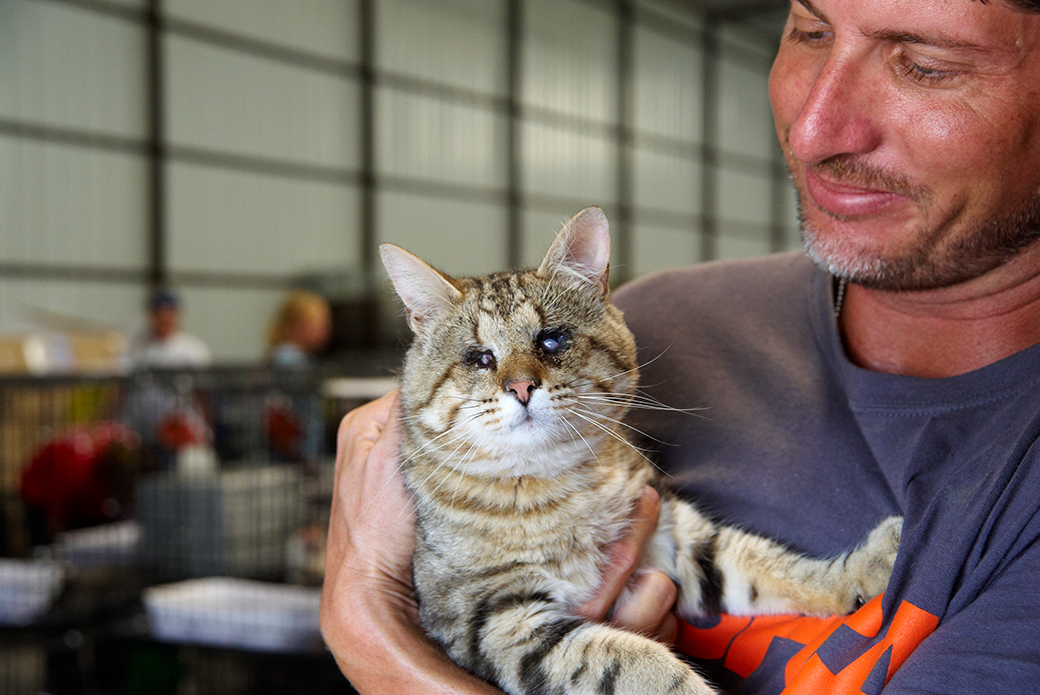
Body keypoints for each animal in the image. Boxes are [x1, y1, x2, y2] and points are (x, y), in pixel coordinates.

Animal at [378, 208, 898, 695]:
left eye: (552, 339)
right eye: (479, 358)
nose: (521, 386)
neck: (555, 485)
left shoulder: (676, 539)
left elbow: (764, 562)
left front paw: (859, 570)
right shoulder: (493, 620)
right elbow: (629, 660)